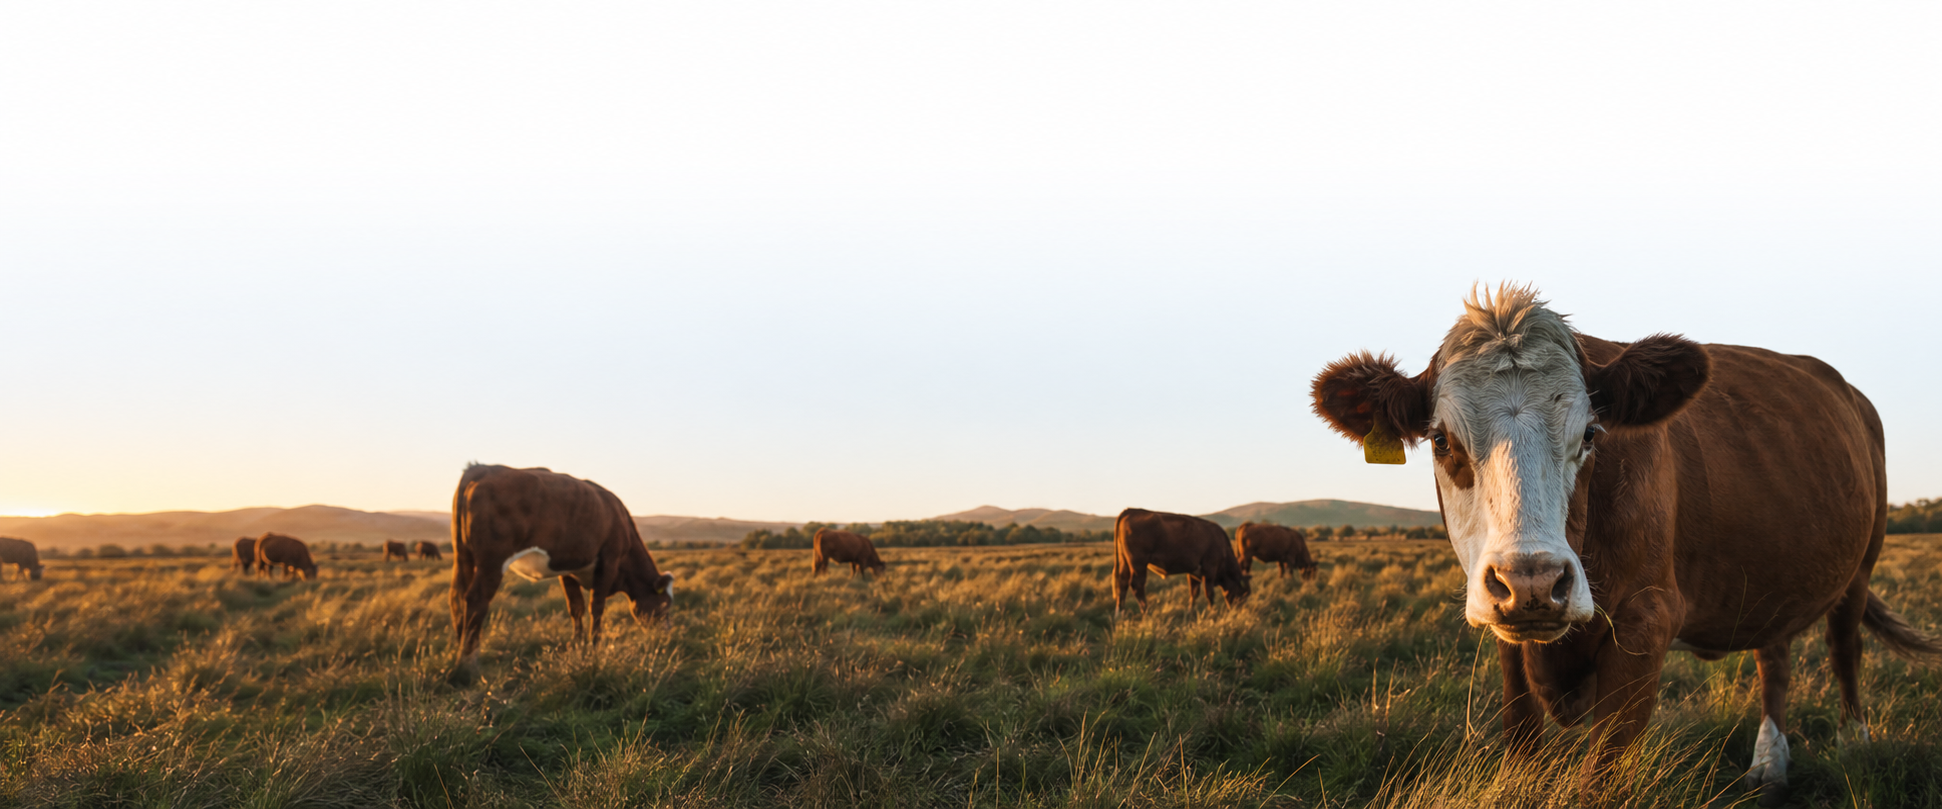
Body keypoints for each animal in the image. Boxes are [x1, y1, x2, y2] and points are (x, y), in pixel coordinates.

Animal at [448, 464, 674, 682]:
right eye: (665, 604)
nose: (667, 634)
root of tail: (482, 468)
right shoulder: (609, 561)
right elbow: (597, 608)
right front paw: (595, 648)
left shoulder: (568, 570)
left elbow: (576, 608)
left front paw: (577, 646)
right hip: (492, 562)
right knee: (476, 599)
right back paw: (468, 664)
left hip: (464, 555)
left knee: (457, 597)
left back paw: (460, 649)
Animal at [1112, 508, 1250, 617]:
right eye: (1242, 596)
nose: (1237, 612)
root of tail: (1131, 510)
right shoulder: (1210, 569)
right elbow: (1209, 593)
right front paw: (1212, 611)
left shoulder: (1193, 572)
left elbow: (1194, 593)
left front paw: (1190, 612)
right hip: (1138, 564)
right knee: (1137, 585)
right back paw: (1146, 612)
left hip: (1125, 562)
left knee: (1122, 583)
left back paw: (1120, 614)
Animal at [1309, 284, 1940, 803]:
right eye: (1442, 440)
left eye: (1591, 433)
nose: (1532, 582)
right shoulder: (1508, 646)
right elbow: (1522, 743)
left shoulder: (1645, 625)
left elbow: (1602, 780)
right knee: (1775, 657)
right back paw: (1769, 765)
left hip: (1861, 566)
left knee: (1844, 647)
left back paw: (1855, 743)